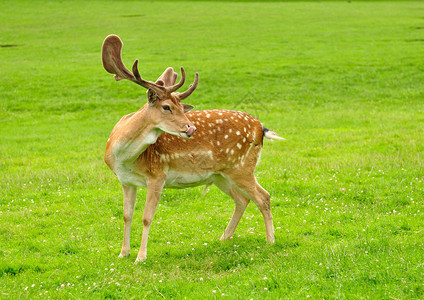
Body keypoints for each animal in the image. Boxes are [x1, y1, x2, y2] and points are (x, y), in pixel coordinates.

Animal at [102, 34, 284, 262]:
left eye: (181, 107)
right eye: (166, 107)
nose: (190, 128)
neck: (123, 157)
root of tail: (260, 128)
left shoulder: (157, 175)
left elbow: (146, 217)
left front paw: (140, 257)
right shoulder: (126, 181)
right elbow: (127, 215)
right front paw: (123, 253)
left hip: (241, 167)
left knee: (263, 196)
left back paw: (271, 241)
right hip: (220, 175)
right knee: (242, 199)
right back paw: (224, 238)